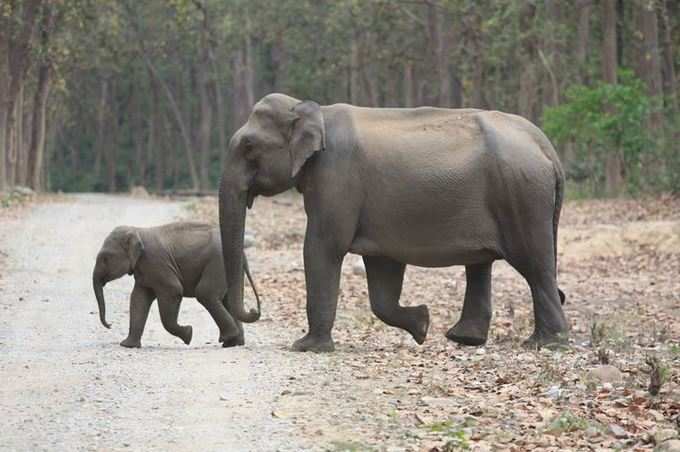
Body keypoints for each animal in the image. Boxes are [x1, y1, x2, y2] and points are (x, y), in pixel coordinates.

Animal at [91, 221, 258, 348]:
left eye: (105, 258)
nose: (110, 325)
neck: (137, 230)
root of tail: (243, 251)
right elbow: (138, 299)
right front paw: (127, 345)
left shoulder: (156, 262)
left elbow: (173, 290)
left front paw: (189, 334)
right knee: (228, 300)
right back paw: (233, 343)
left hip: (217, 264)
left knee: (205, 293)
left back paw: (227, 338)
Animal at [222, 92, 568, 354]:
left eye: (249, 146)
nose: (252, 314)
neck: (314, 110)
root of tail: (546, 146)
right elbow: (382, 271)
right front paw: (422, 324)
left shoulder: (335, 178)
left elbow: (323, 247)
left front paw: (306, 347)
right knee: (483, 264)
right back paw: (465, 338)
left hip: (520, 195)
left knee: (534, 265)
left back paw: (546, 343)